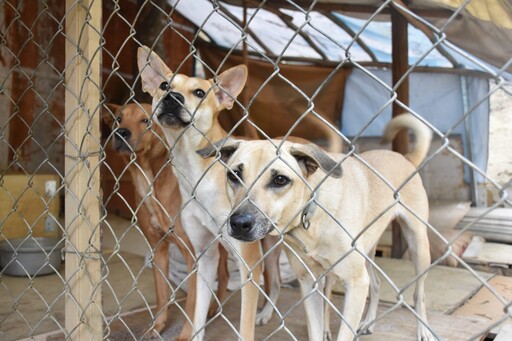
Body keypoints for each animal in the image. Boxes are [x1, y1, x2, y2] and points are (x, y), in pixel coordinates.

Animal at [101, 103, 198, 340]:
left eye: (145, 120)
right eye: (118, 119)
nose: (121, 133)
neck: (147, 178)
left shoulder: (193, 256)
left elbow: (192, 303)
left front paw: (187, 333)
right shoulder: (158, 248)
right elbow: (162, 295)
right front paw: (158, 325)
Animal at [199, 114, 436, 340]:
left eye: (280, 180)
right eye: (234, 175)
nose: (239, 224)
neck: (311, 215)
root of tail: (405, 158)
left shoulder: (356, 283)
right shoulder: (309, 284)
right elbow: (315, 328)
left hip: (418, 247)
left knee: (419, 294)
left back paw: (424, 330)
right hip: (368, 252)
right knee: (376, 283)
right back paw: (369, 322)